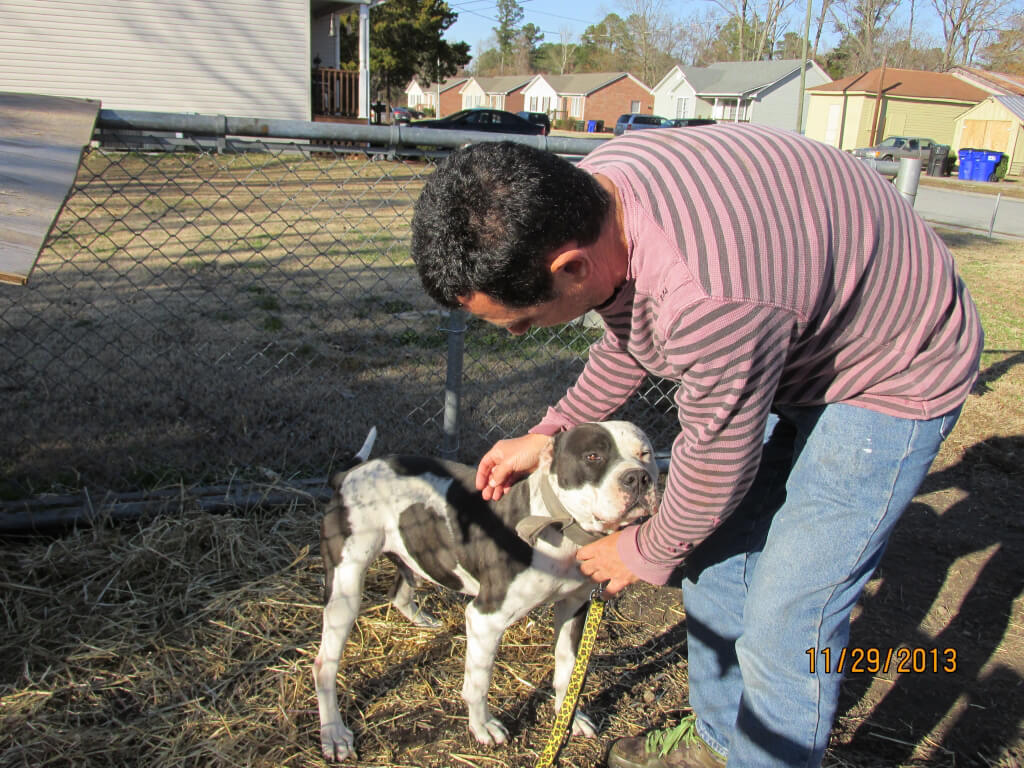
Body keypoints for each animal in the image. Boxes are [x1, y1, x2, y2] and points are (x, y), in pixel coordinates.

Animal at [309, 421, 655, 765]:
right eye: (593, 456)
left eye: (645, 454)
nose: (639, 477)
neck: (558, 525)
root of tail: (350, 473)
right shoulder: (485, 618)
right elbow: (479, 682)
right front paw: (482, 726)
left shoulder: (575, 606)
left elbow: (568, 667)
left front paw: (567, 715)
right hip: (346, 586)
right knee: (324, 664)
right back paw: (333, 733)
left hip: (418, 549)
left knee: (399, 592)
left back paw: (423, 620)